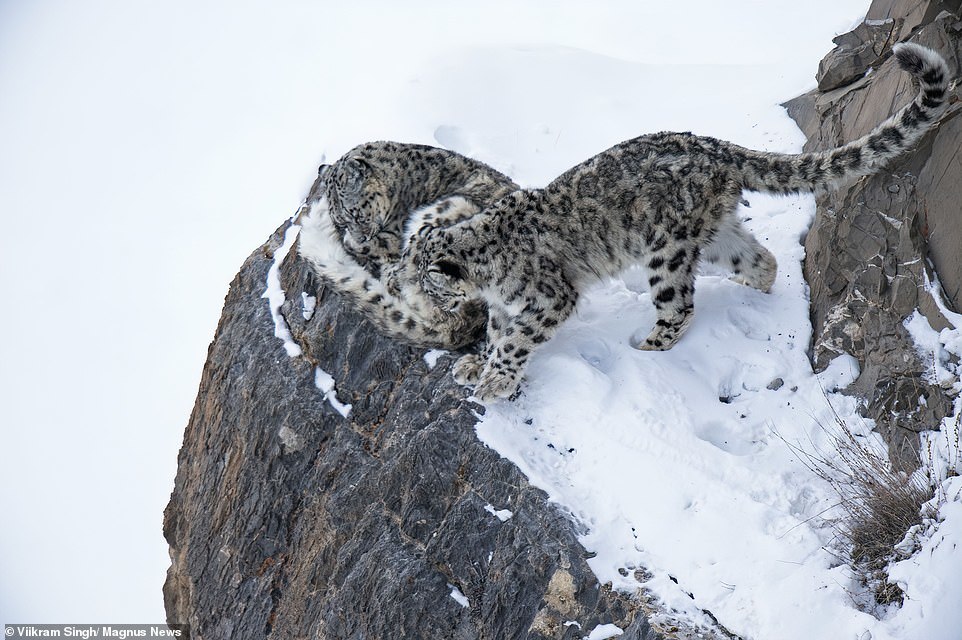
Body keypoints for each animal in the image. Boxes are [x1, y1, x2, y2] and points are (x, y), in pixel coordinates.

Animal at [298, 142, 516, 348]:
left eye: (356, 215)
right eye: (341, 221)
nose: (360, 237)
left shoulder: (392, 235)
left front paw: (353, 242)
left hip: (449, 210)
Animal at [386, 42, 948, 400]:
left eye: (423, 281)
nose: (402, 289)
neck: (489, 276)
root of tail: (712, 145)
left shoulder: (549, 297)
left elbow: (517, 341)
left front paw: (495, 382)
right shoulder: (506, 306)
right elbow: (500, 334)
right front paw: (475, 364)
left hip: (667, 251)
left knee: (680, 304)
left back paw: (647, 344)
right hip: (715, 234)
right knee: (760, 259)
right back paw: (757, 297)